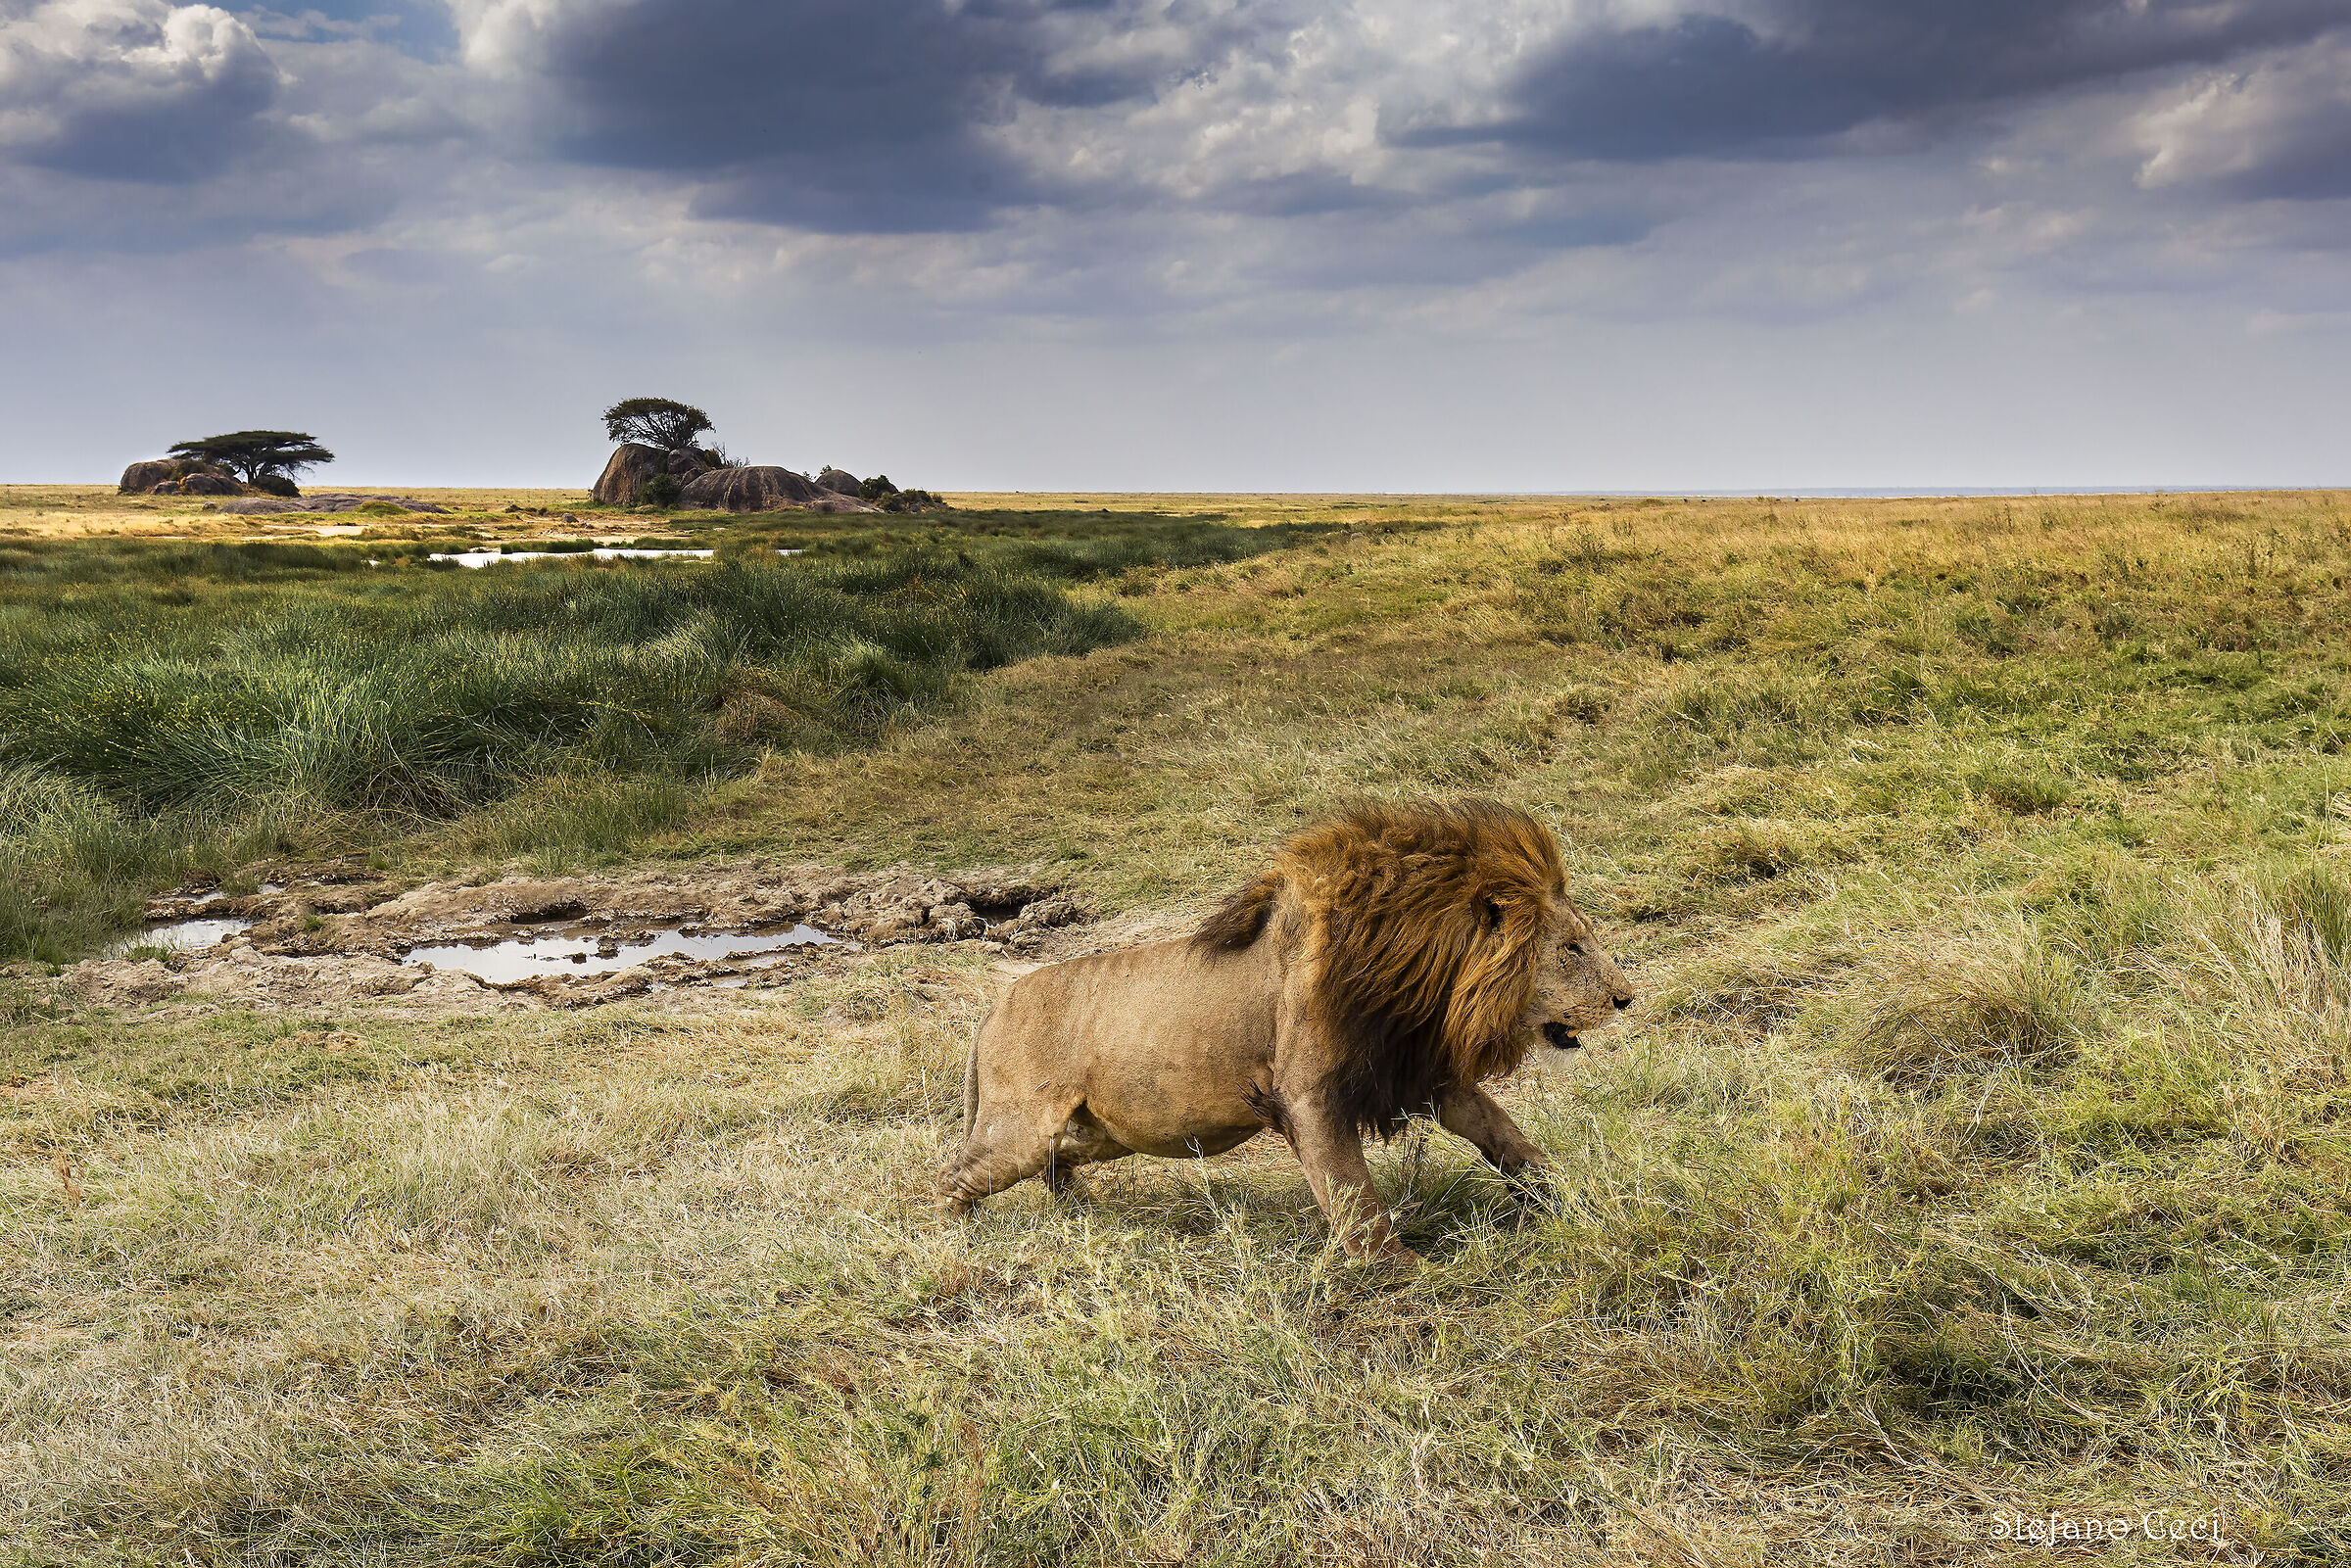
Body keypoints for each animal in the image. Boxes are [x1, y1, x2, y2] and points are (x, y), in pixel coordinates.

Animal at [938, 799, 1636, 1260]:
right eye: (1573, 948)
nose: (1627, 999)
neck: (1417, 981)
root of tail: (994, 1007)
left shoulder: (1419, 1073)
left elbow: (1502, 1131)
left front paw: (1560, 1194)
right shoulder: (1308, 1090)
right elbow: (1352, 1194)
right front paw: (1403, 1273)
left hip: (1095, 1130)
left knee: (1056, 1160)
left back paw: (1080, 1213)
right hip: (1020, 1127)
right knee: (955, 1174)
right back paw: (948, 1235)